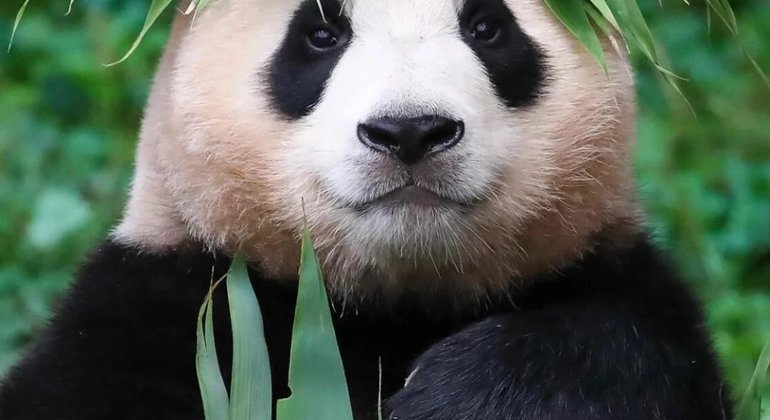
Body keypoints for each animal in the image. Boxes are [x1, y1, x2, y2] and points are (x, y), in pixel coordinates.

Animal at [0, 0, 732, 419]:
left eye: (487, 28)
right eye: (322, 34)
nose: (410, 132)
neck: (388, 300)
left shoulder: (608, 281)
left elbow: (606, 357)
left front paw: (454, 399)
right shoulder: (170, 305)